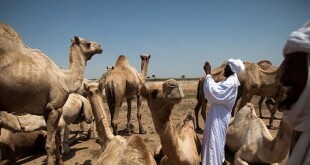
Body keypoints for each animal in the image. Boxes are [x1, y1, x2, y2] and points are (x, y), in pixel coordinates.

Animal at [0, 22, 103, 164]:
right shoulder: (53, 108)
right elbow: (50, 145)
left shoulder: (47, 110)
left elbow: (55, 142)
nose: (100, 46)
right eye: (87, 43)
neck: (63, 77)